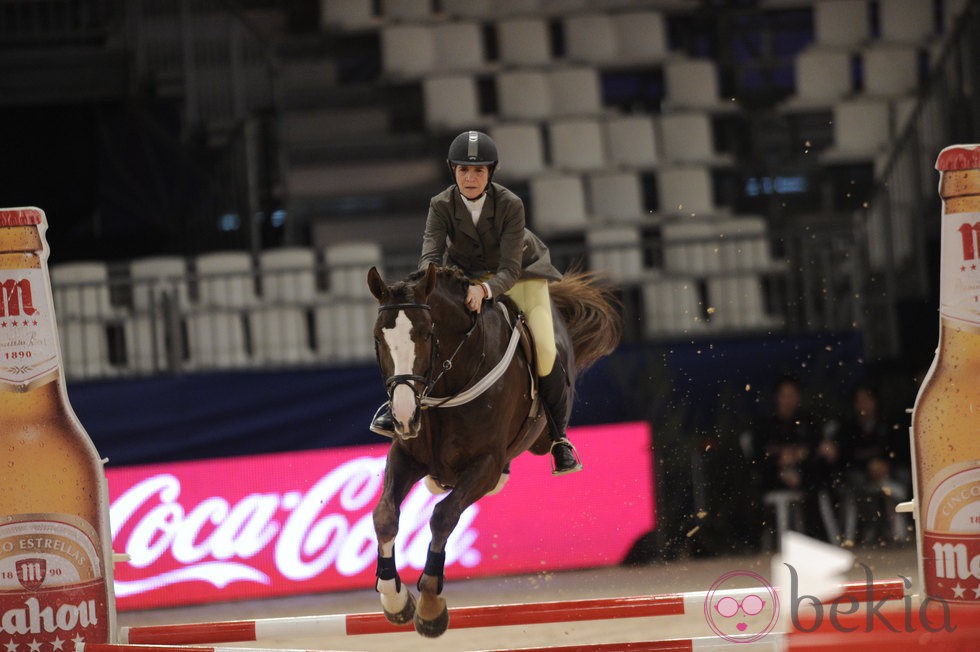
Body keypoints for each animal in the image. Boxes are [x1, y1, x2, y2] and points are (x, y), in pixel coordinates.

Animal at [368, 262, 620, 636]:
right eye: (378, 338)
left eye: (427, 334)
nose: (402, 415)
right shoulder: (406, 456)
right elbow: (385, 515)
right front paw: (395, 600)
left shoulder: (484, 464)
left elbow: (443, 516)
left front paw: (429, 606)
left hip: (540, 435)